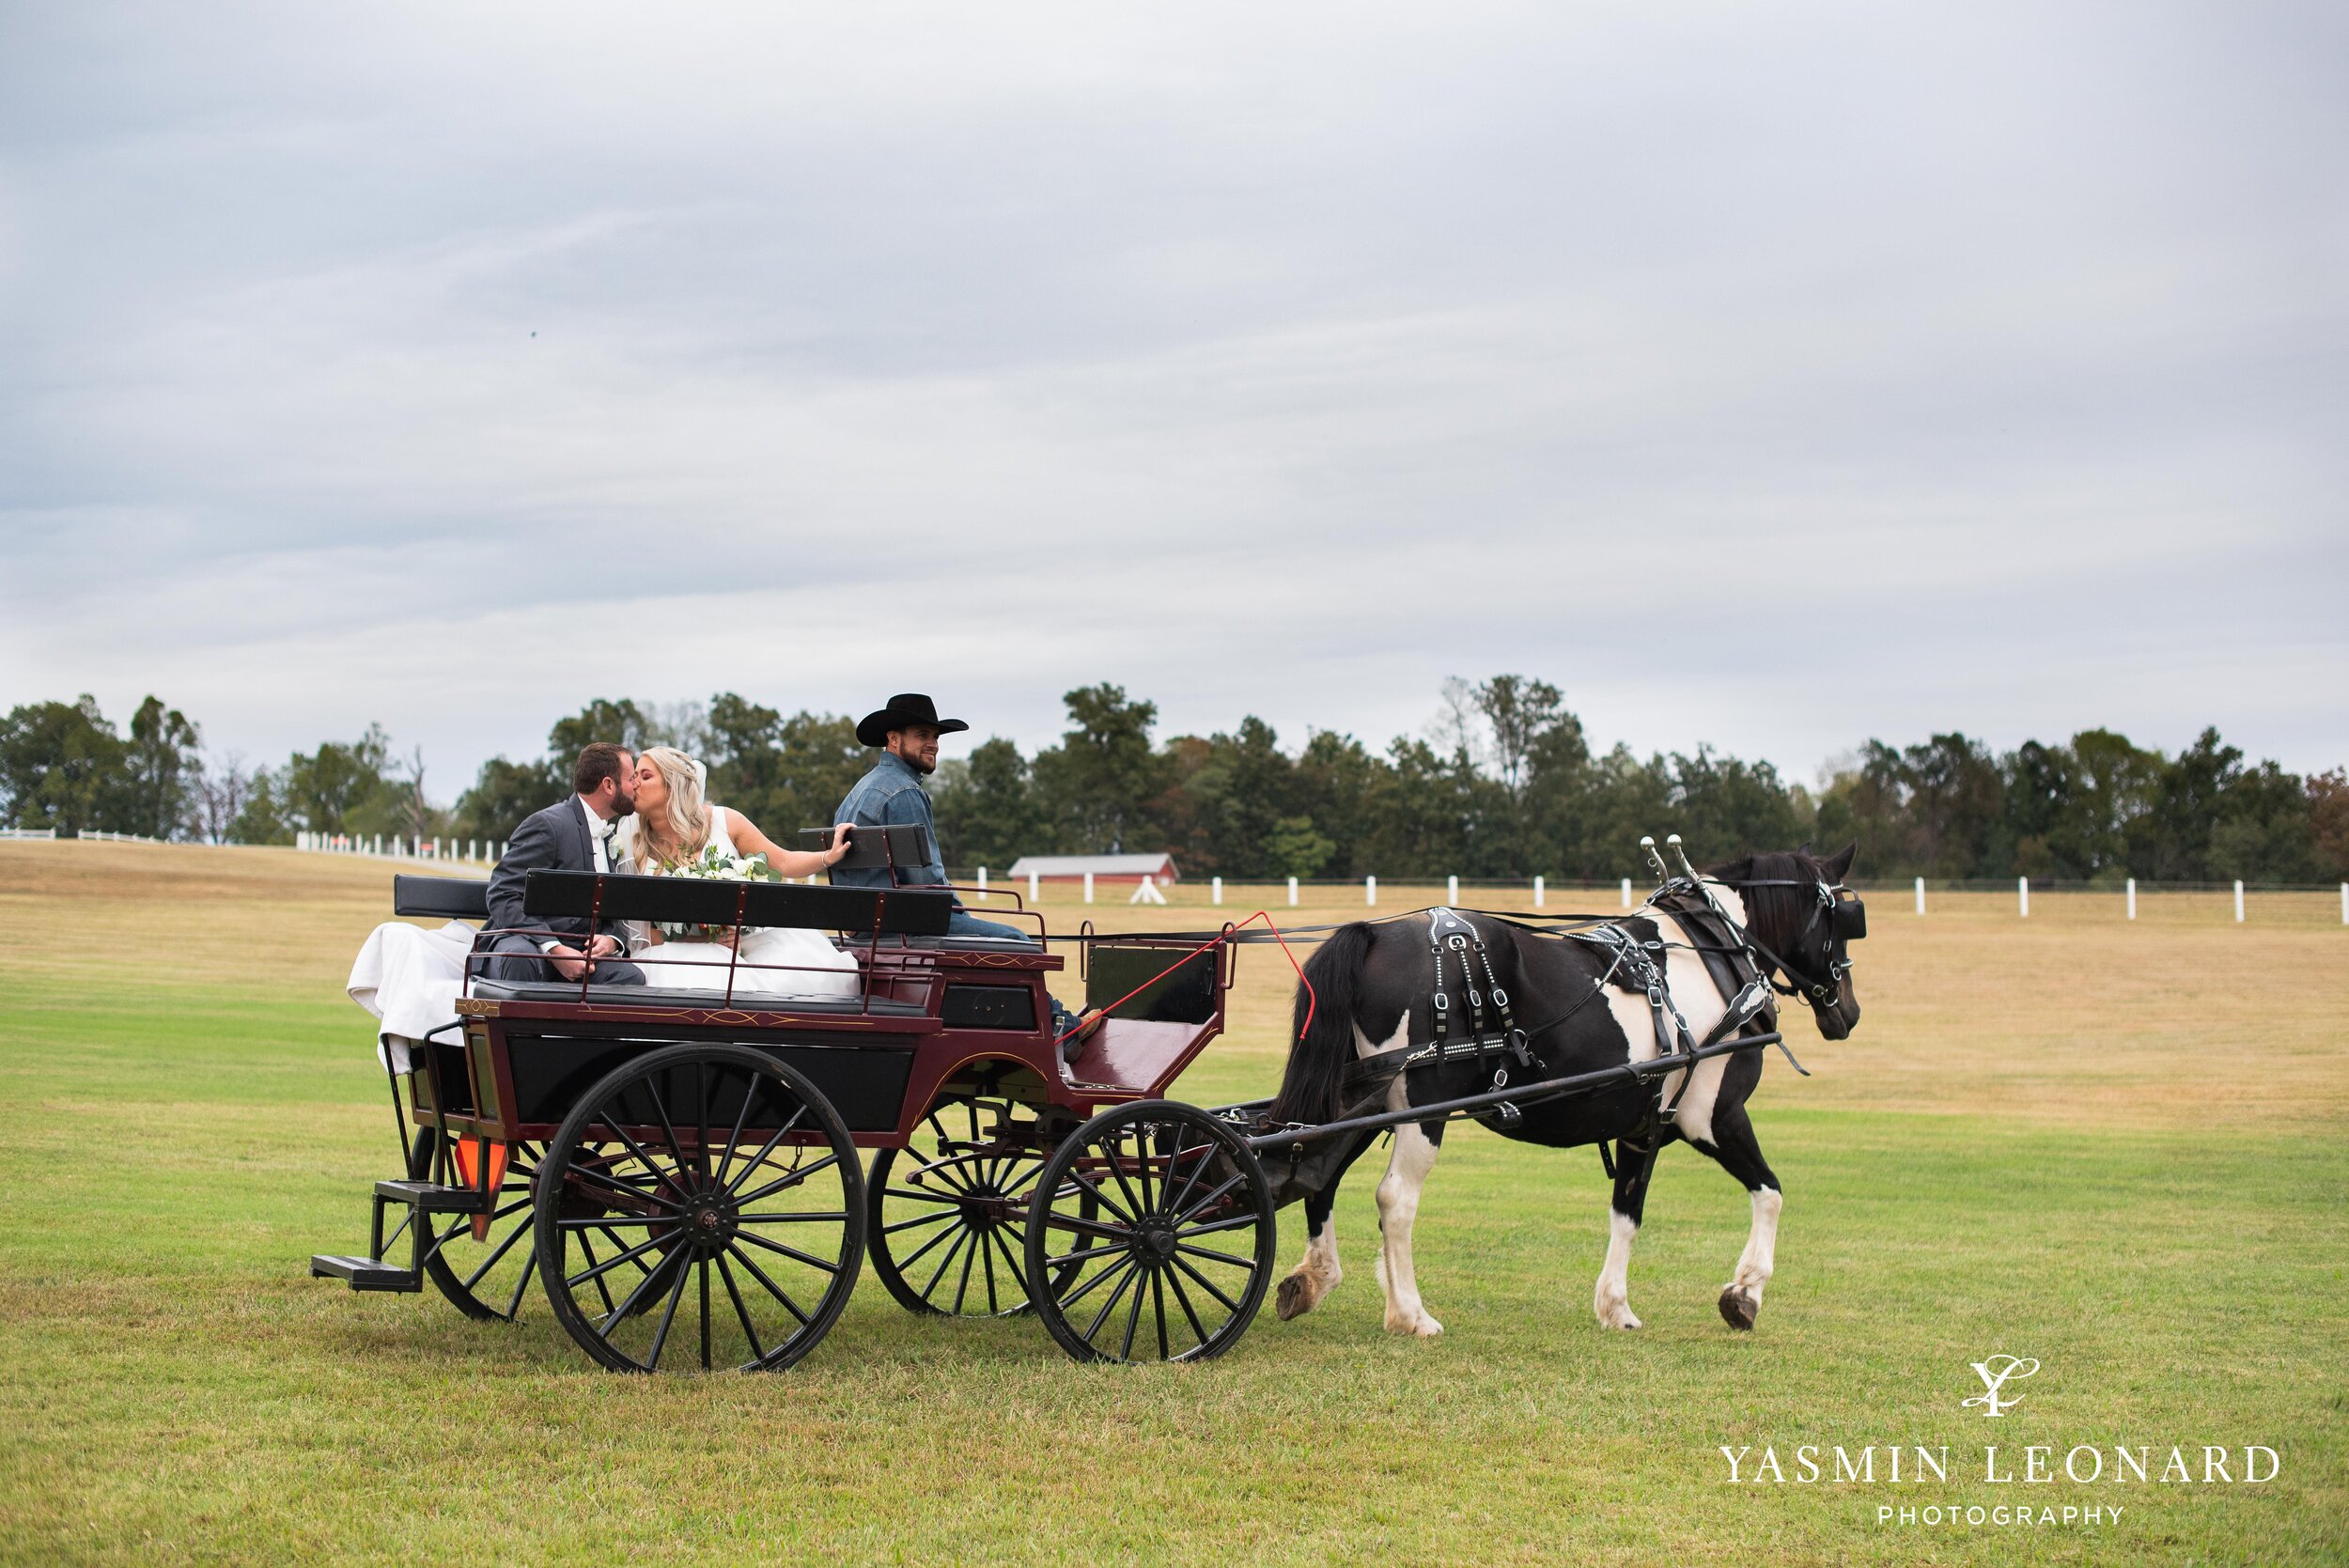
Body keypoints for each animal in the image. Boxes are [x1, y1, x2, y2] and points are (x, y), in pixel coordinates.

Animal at [1278, 840, 1860, 1343]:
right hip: (1421, 1110)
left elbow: (1627, 1213)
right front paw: (1745, 1293)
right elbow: (1771, 1192)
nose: (1849, 1014)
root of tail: (1375, 936)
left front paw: (1616, 1306)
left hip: (1357, 1104)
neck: (1712, 951)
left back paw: (1315, 1278)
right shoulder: (1714, 1117)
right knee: (1394, 1198)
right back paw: (1410, 1313)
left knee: (1317, 1172)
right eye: (1847, 920)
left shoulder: (1642, 1127)